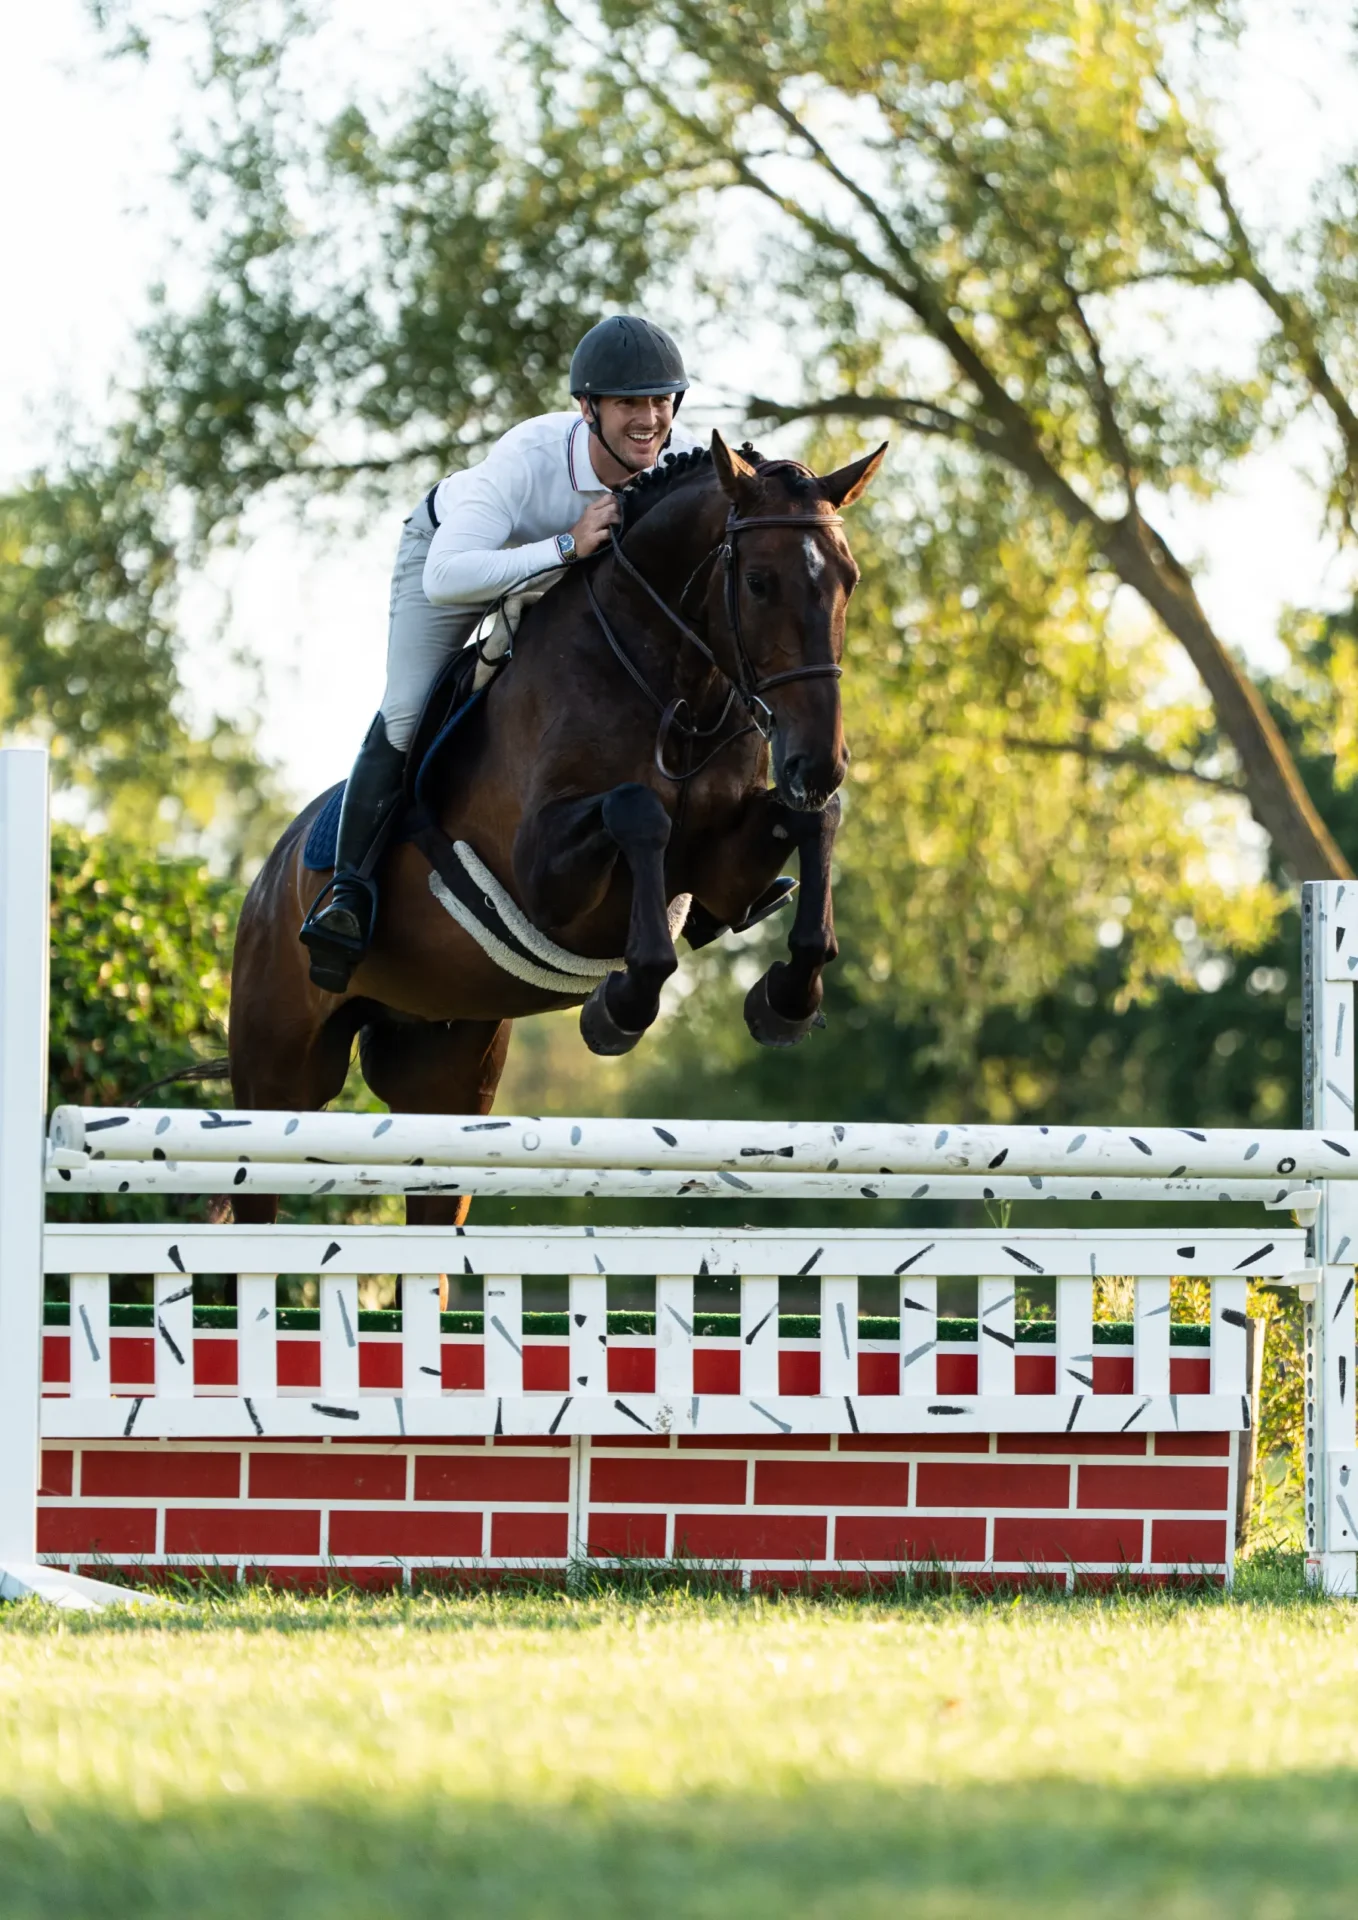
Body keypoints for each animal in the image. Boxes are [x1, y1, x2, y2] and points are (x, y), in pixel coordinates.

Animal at [227, 431, 886, 1228]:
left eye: (848, 580)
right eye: (759, 582)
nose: (819, 761)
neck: (672, 687)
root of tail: (268, 880)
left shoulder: (726, 871)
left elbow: (811, 821)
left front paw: (788, 996)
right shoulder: (543, 877)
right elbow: (638, 812)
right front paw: (622, 1007)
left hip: (444, 1079)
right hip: (275, 1079)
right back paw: (340, 917)